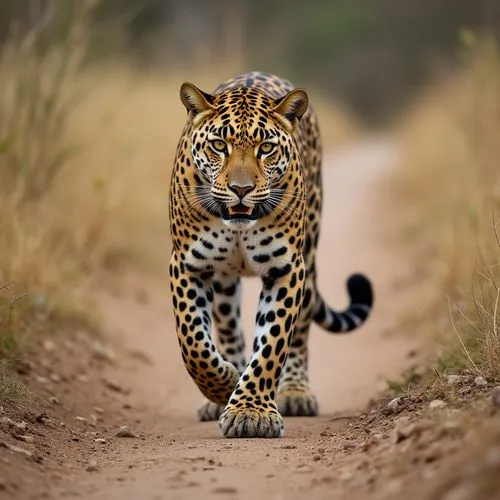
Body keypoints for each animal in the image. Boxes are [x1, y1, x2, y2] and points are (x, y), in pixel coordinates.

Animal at [170, 70, 374, 438]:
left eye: (266, 148)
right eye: (219, 145)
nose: (241, 189)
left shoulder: (286, 267)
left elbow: (272, 344)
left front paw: (251, 412)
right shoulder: (188, 263)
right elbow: (193, 342)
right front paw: (224, 386)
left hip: (309, 256)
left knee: (301, 331)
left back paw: (295, 392)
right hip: (224, 281)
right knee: (227, 329)